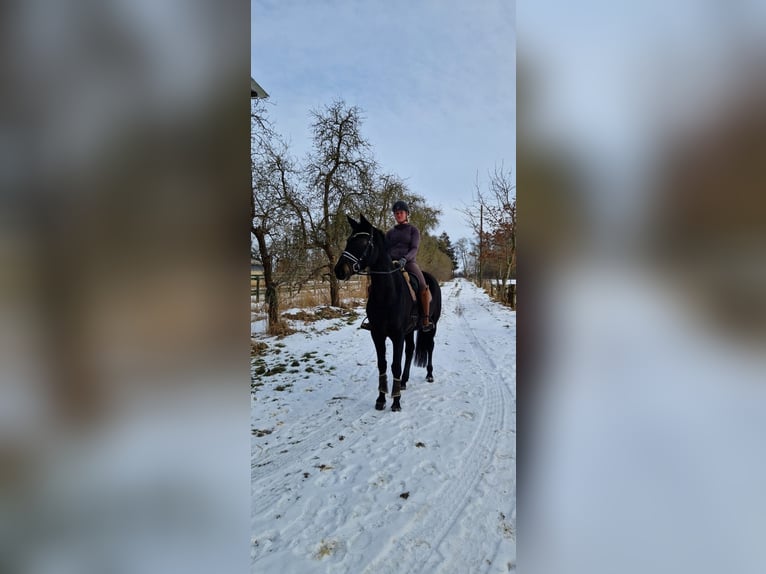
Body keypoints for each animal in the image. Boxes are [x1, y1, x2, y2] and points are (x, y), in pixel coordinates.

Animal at [334, 214, 442, 411]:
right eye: (348, 240)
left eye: (363, 242)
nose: (340, 270)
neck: (387, 292)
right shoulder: (377, 334)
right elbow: (382, 365)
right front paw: (381, 399)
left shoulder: (397, 335)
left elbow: (395, 365)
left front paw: (396, 402)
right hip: (409, 331)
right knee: (410, 350)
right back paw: (404, 382)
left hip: (432, 325)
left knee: (430, 346)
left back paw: (429, 375)